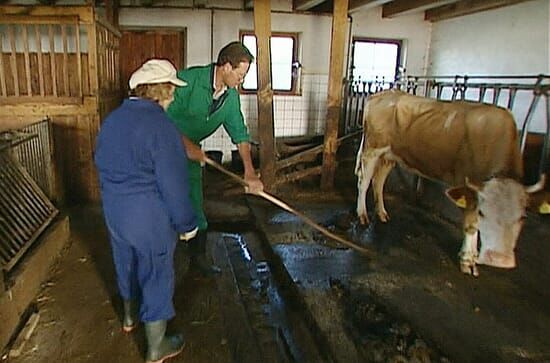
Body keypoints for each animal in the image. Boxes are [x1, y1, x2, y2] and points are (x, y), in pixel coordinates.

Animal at [356, 89, 544, 278]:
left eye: (523, 217)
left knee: (379, 181)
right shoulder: (468, 186)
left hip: (390, 155)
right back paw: (362, 215)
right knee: (364, 182)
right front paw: (467, 261)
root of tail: (386, 93)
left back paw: (382, 213)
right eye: (483, 213)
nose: (500, 259)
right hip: (373, 149)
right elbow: (471, 224)